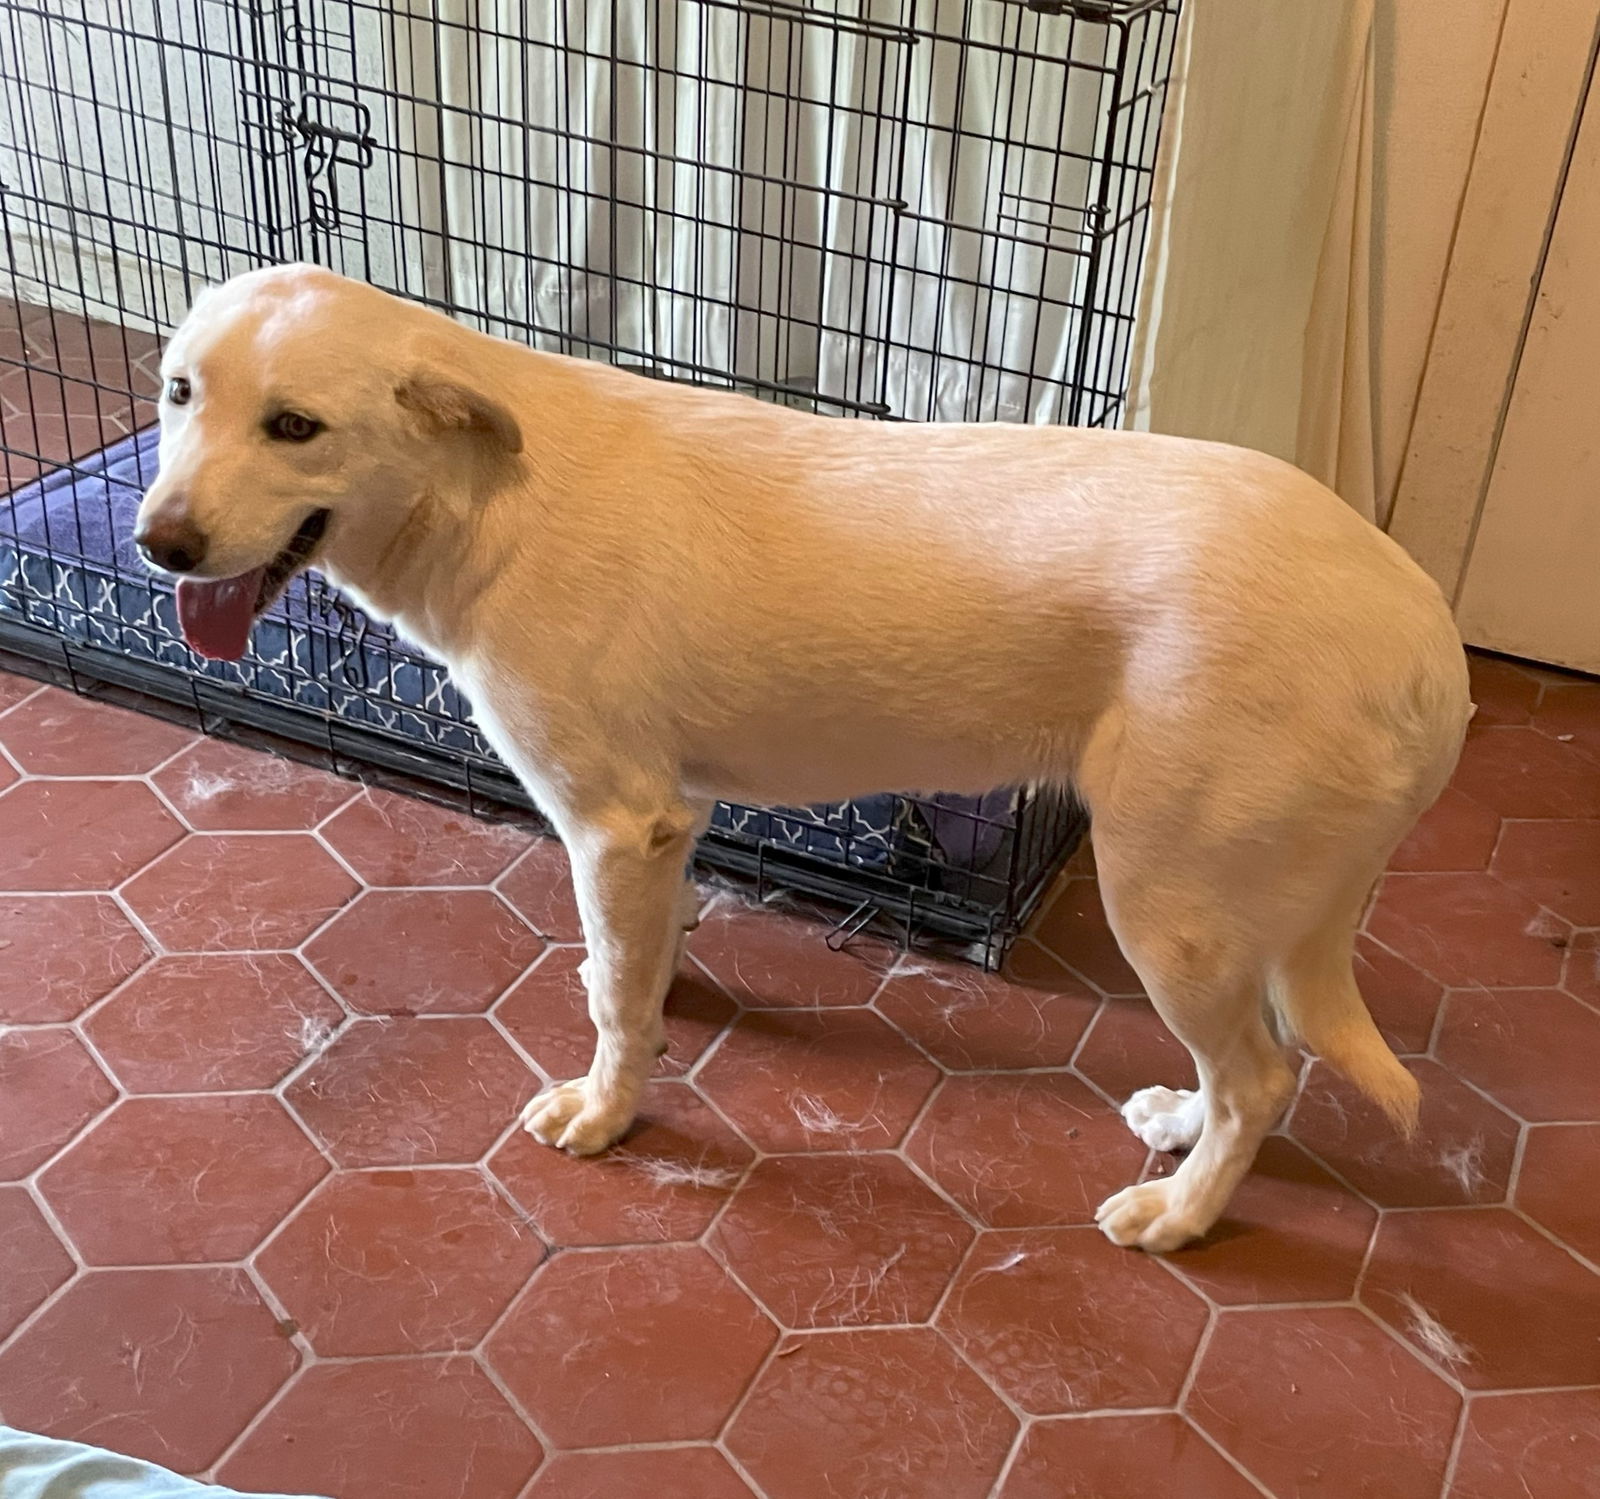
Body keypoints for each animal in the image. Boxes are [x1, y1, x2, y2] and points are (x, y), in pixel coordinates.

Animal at [137, 265, 1472, 1254]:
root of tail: (1429, 640)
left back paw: (1180, 1213)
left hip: (1168, 905)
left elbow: (618, 1003)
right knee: (1256, 1059)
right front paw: (646, 998)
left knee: (1265, 1075)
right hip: (1225, 908)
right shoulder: (669, 822)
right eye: (178, 394)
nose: (159, 545)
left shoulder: (615, 823)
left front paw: (610, 1106)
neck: (480, 498)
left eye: (295, 426)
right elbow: (637, 962)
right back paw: (1180, 1125)